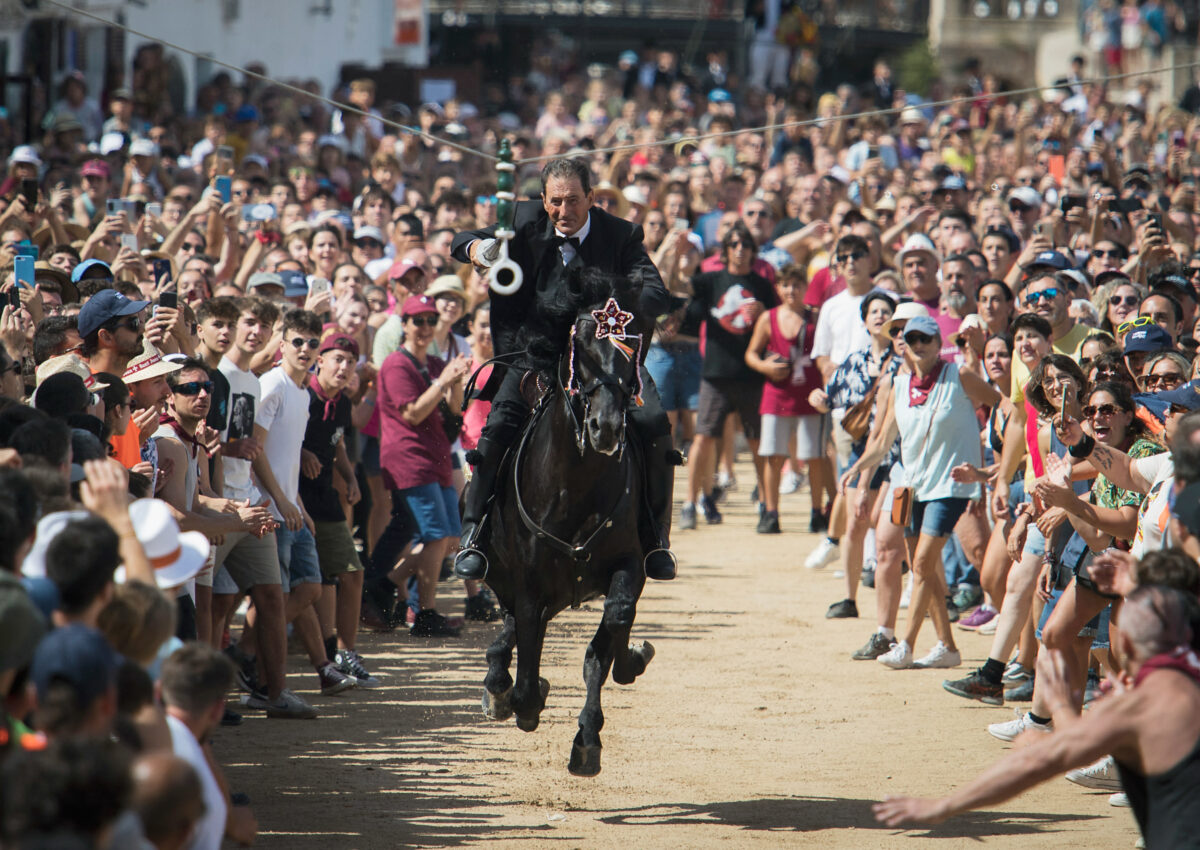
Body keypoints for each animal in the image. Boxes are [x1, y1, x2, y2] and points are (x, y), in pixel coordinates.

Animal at [480, 268, 662, 773]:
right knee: (510, 626)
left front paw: (588, 739)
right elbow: (526, 680)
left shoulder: (629, 566)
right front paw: (525, 699)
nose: (607, 426)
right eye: (581, 342)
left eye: (633, 343)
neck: (577, 485)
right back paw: (499, 685)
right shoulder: (529, 585)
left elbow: (611, 631)